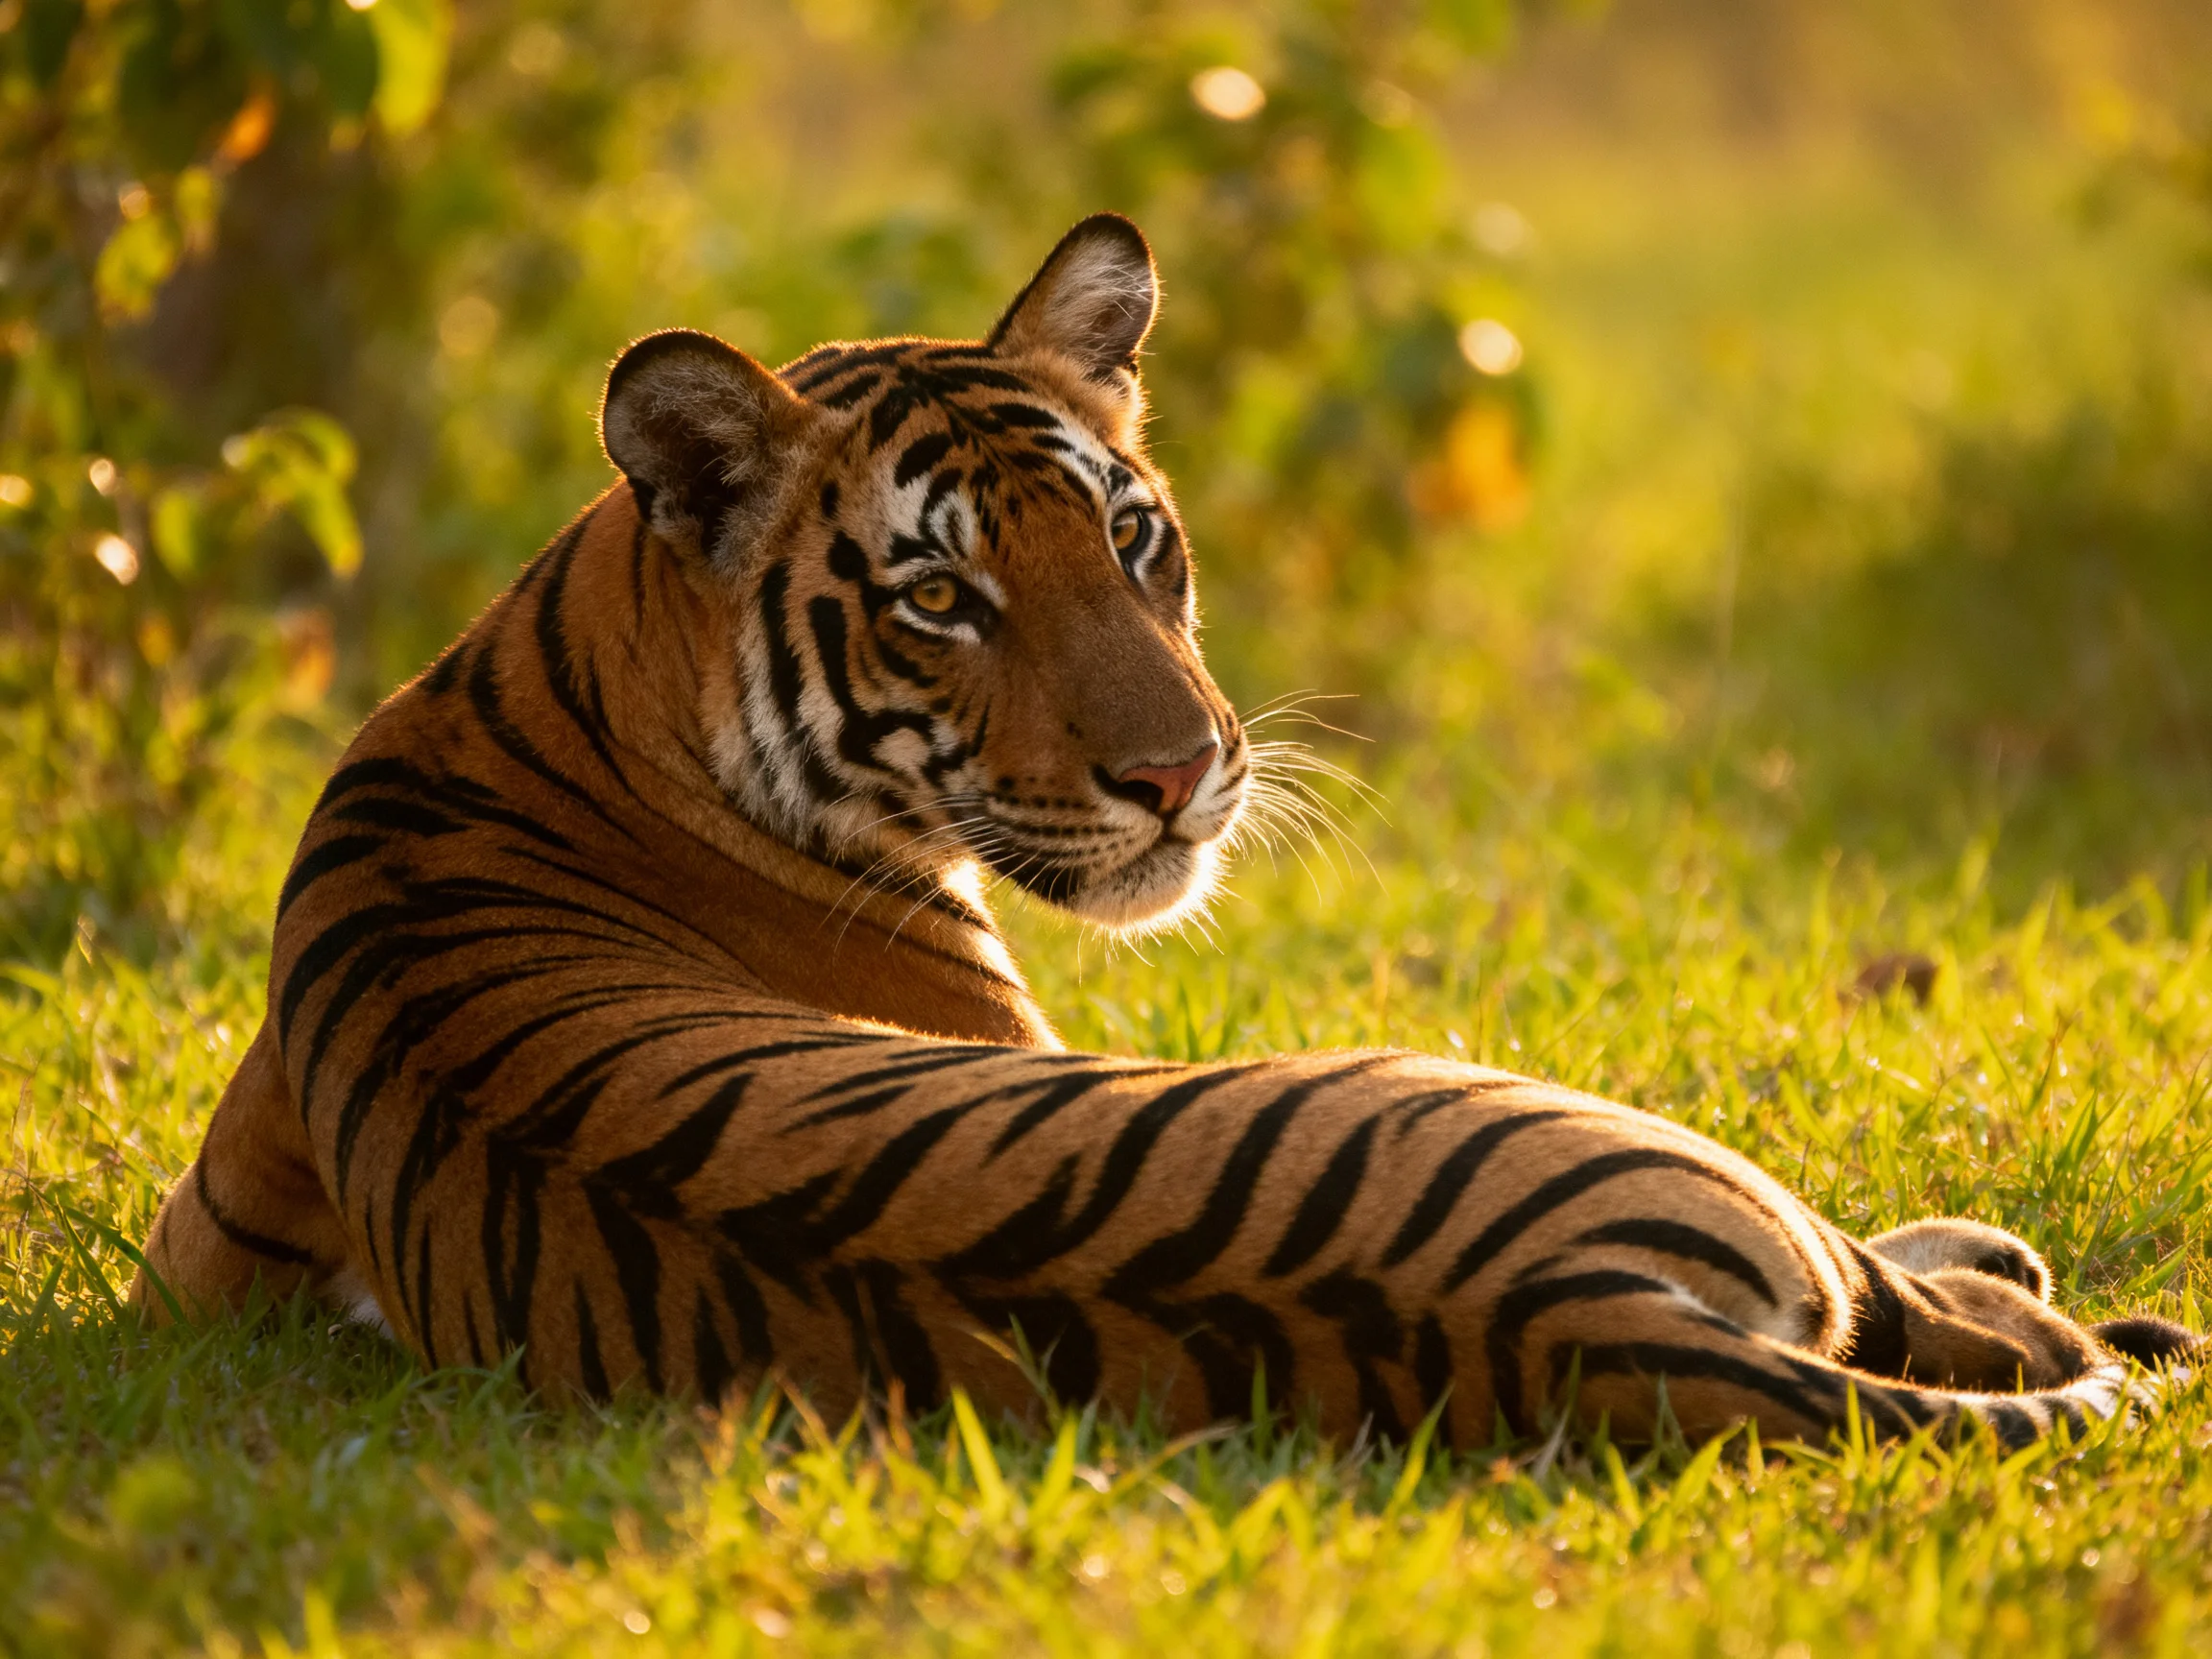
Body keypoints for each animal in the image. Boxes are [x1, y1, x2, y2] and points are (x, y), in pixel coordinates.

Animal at [132, 214, 2198, 1451]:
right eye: (941, 601)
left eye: (1128, 537)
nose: (1184, 770)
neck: (555, 666)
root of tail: (1576, 1315)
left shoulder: (200, 1257)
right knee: (1937, 1306)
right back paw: (2043, 1285)